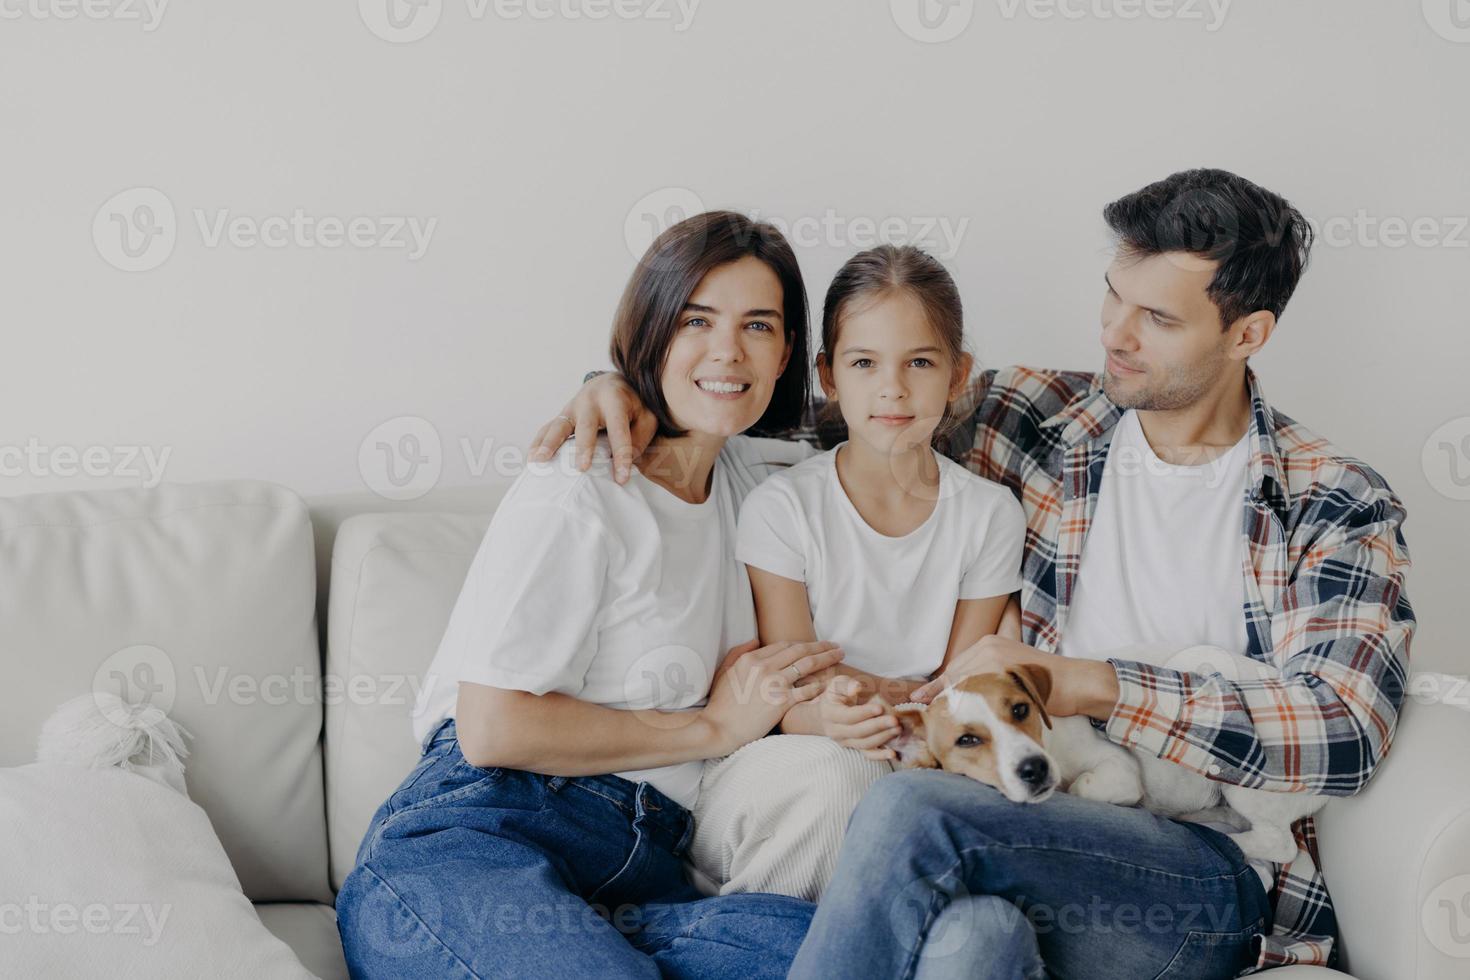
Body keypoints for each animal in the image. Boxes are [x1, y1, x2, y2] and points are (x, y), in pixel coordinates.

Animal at [887, 643, 1328, 863]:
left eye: (1020, 710)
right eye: (967, 741)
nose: (1035, 769)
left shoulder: (1119, 767)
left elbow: (1083, 785)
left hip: (1247, 782)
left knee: (1279, 844)